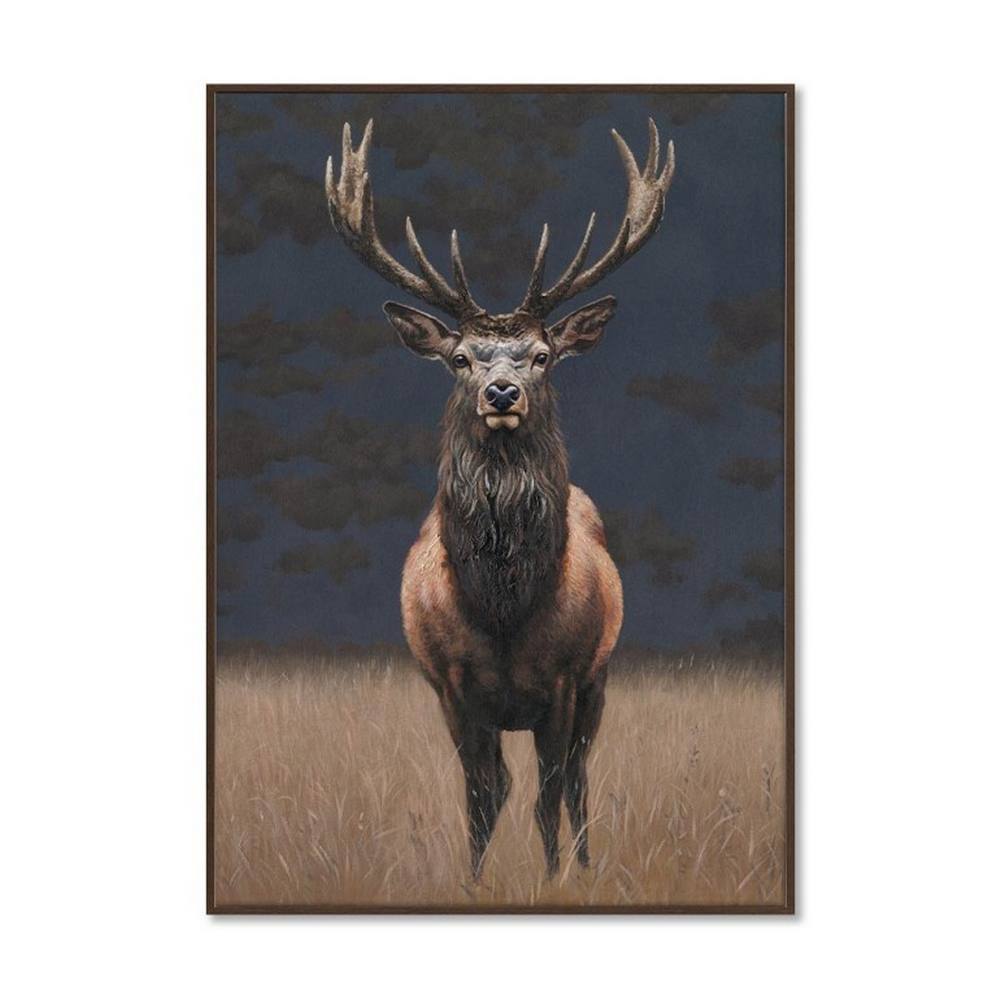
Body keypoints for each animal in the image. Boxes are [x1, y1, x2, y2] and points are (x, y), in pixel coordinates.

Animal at [325, 117, 675, 880]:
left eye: (542, 354)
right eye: (461, 358)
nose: (503, 391)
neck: (505, 606)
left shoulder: (568, 678)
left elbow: (550, 793)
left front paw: (553, 878)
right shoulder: (452, 685)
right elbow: (482, 796)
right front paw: (475, 881)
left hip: (601, 680)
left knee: (575, 781)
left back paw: (585, 862)